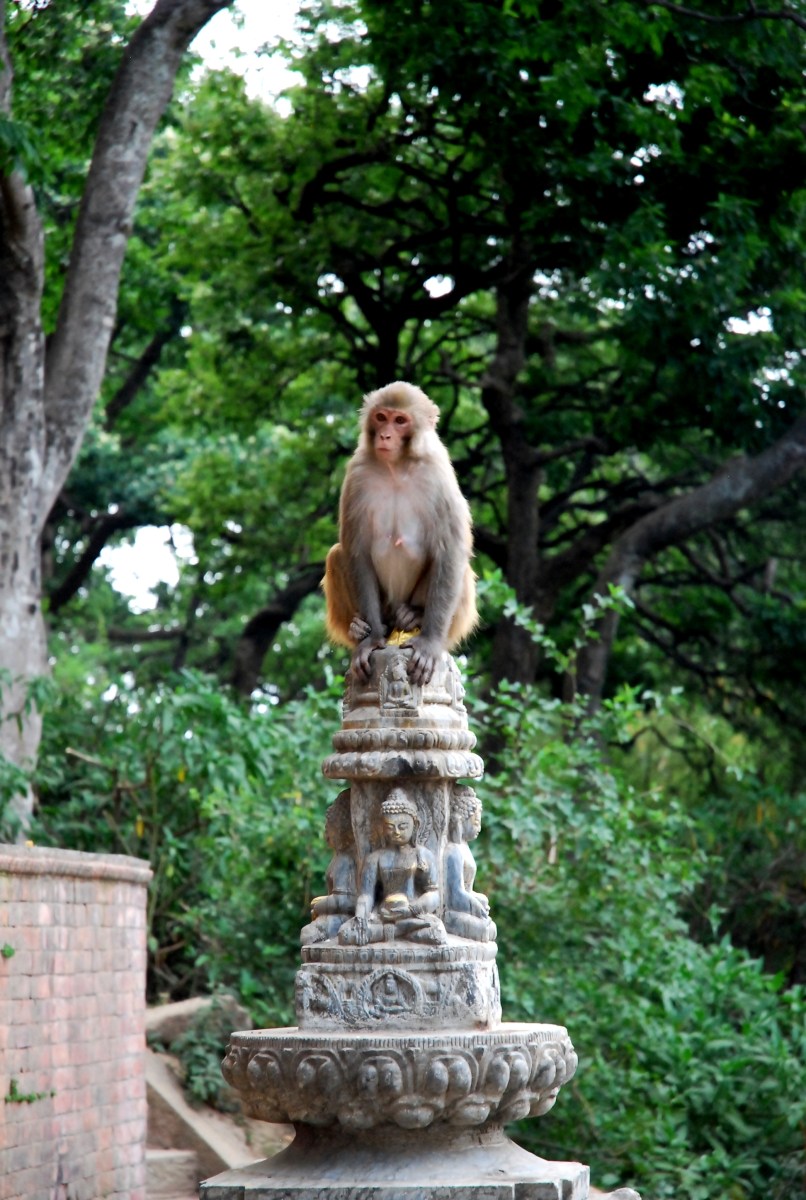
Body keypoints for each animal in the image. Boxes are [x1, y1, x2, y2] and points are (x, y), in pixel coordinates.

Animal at [323, 380, 477, 686]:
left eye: (400, 421)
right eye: (382, 417)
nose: (385, 435)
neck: (396, 466)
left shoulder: (437, 472)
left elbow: (450, 549)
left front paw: (429, 643)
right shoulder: (357, 473)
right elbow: (356, 551)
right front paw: (371, 640)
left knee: (459, 564)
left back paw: (414, 616)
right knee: (337, 554)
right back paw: (359, 628)